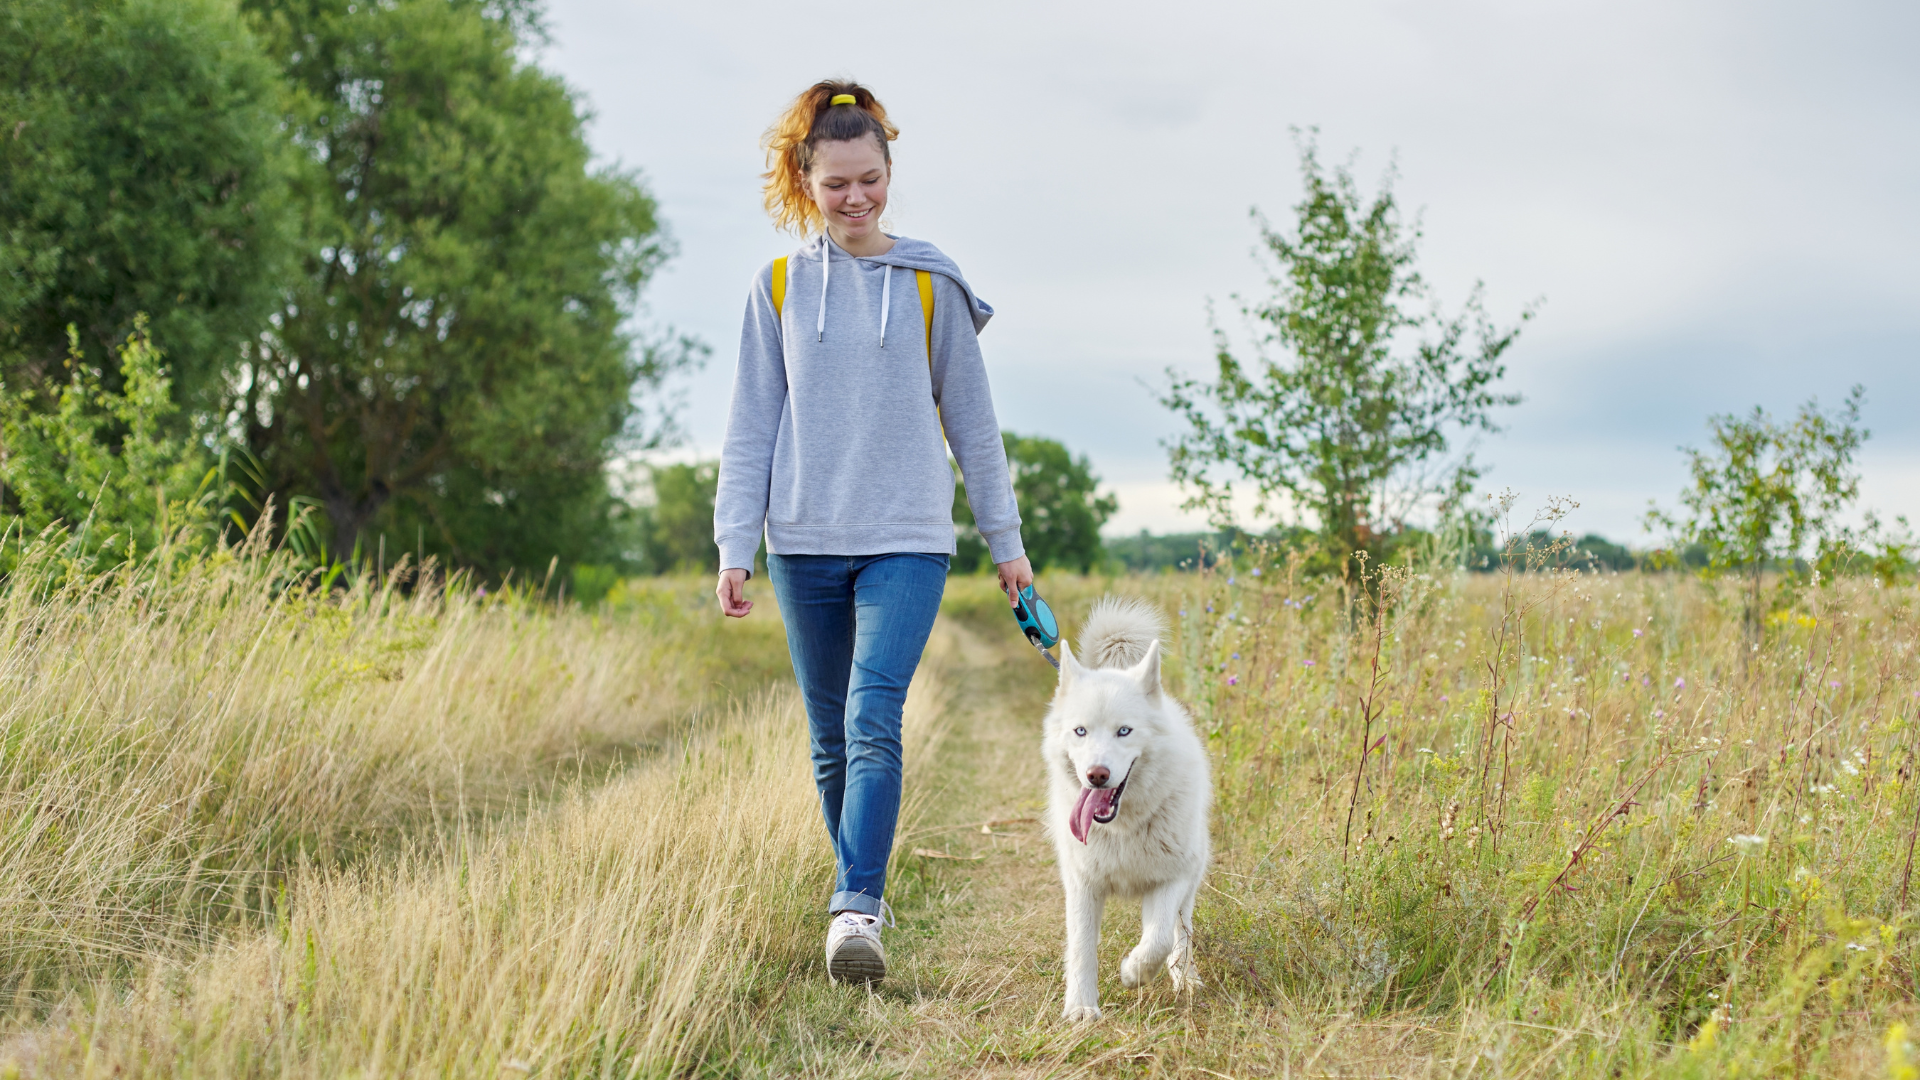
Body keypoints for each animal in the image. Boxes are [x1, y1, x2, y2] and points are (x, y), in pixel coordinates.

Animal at [1044, 595, 1205, 1014]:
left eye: (1124, 731)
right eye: (1080, 731)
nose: (1096, 775)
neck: (1120, 828)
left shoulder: (1171, 878)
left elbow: (1159, 938)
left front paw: (1135, 972)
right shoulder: (1082, 885)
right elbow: (1082, 948)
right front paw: (1081, 1008)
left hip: (1192, 874)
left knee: (1181, 933)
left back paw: (1185, 977)